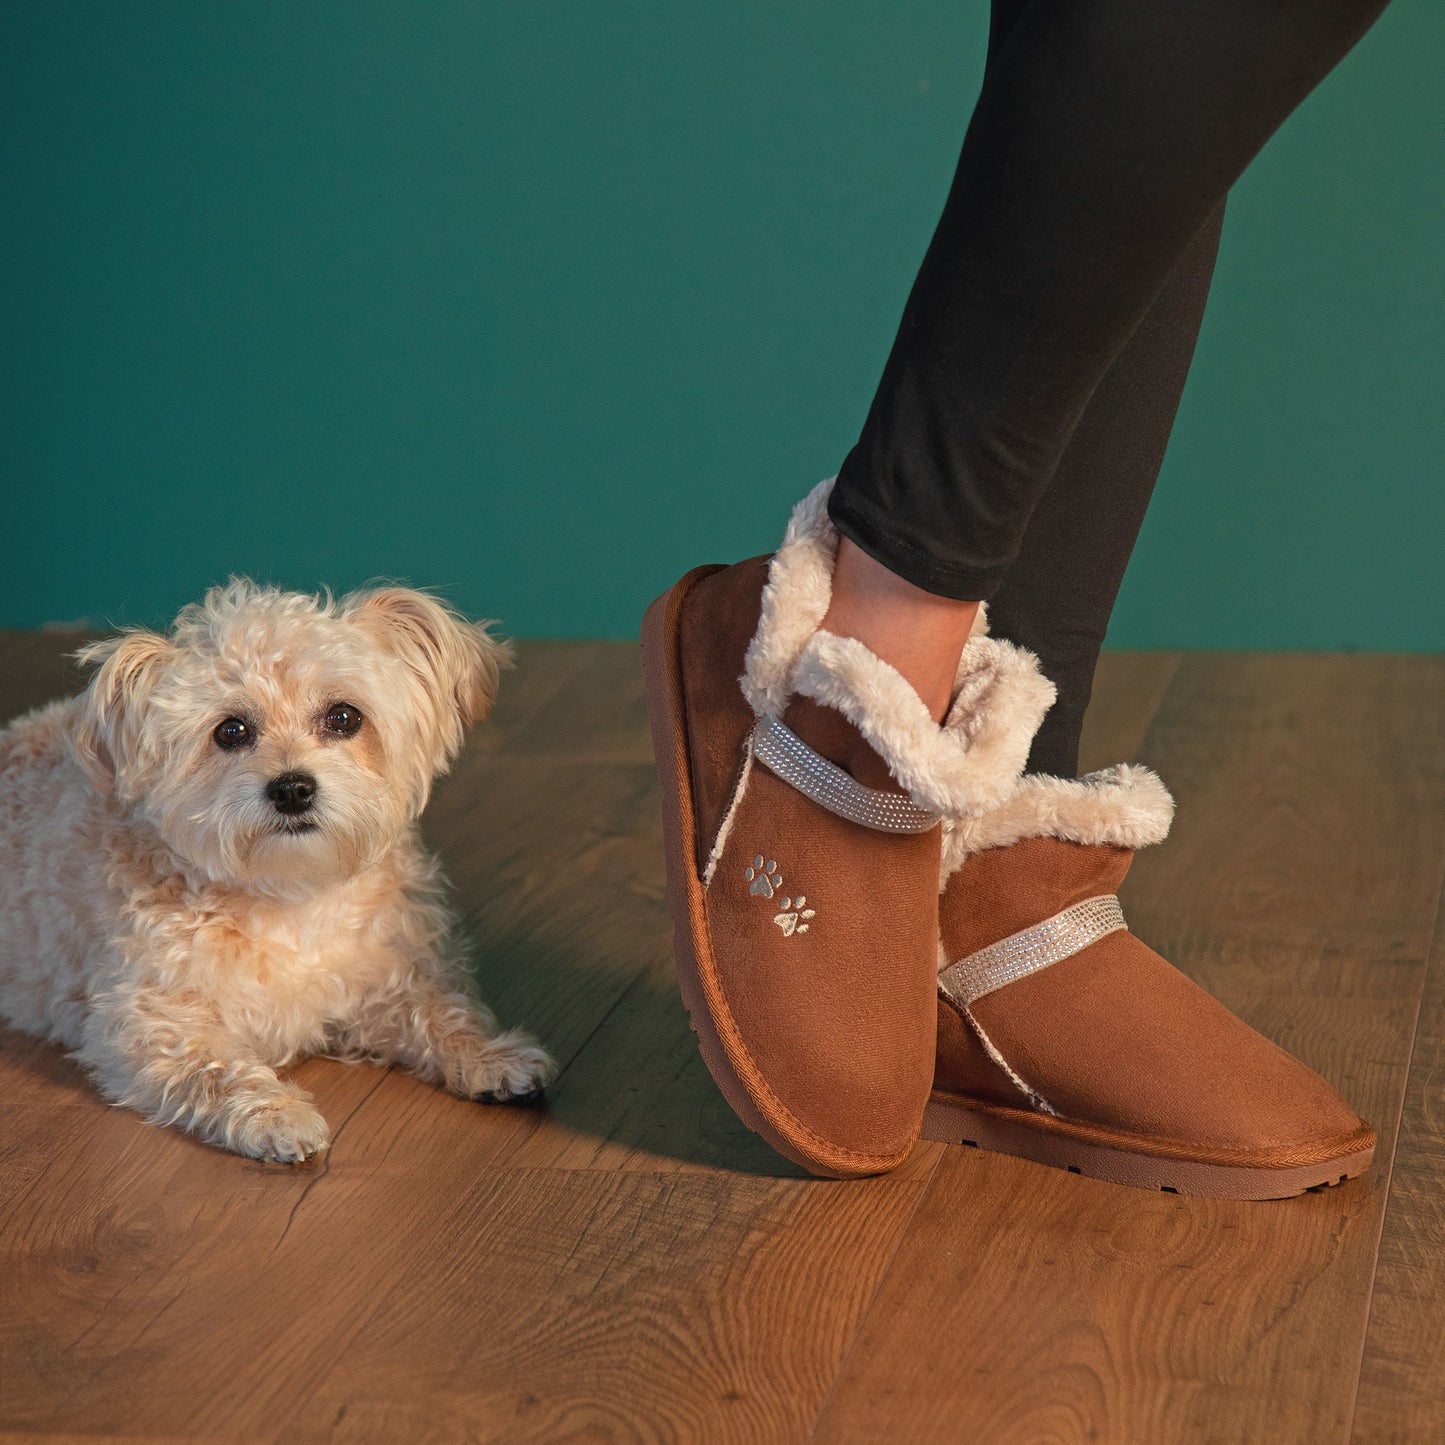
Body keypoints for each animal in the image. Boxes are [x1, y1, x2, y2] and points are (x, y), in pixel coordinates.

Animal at [0, 580, 551, 1156]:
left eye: (344, 717)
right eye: (231, 731)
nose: (292, 789)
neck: (292, 896)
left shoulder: (389, 978)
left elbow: (441, 1011)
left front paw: (494, 1056)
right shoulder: (148, 1023)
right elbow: (215, 1070)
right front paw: (278, 1116)